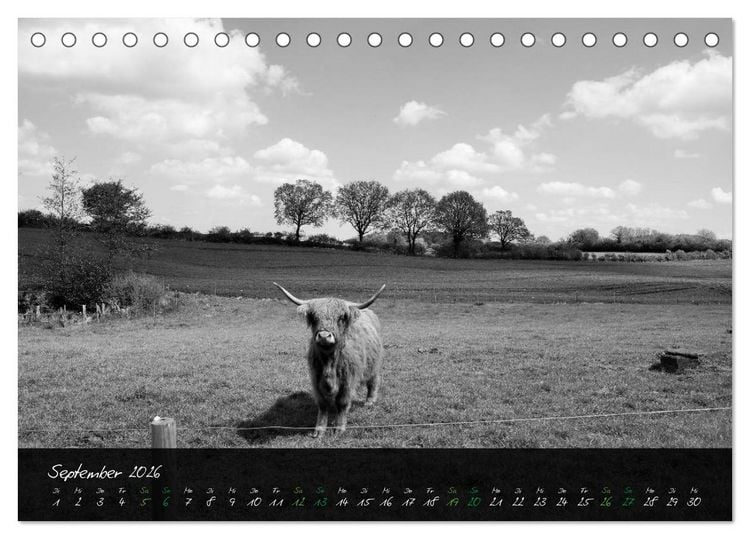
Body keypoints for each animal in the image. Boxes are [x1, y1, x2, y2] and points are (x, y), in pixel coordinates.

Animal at [273, 282, 386, 437]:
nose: (324, 336)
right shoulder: (316, 379)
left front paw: (339, 428)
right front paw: (319, 430)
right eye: (314, 317)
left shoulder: (348, 381)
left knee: (373, 381)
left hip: (374, 364)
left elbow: (342, 403)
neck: (329, 363)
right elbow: (322, 405)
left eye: (341, 317)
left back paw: (369, 402)